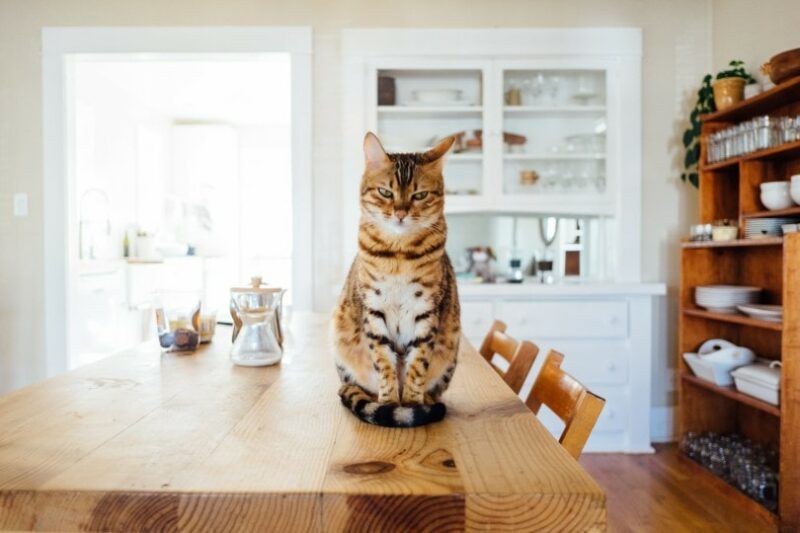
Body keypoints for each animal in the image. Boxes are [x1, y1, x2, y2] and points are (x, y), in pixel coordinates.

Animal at [332, 131, 462, 426]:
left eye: (420, 195)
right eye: (385, 192)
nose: (401, 213)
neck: (399, 255)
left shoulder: (427, 311)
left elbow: (417, 365)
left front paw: (412, 404)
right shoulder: (374, 310)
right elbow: (384, 363)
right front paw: (390, 403)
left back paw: (427, 402)